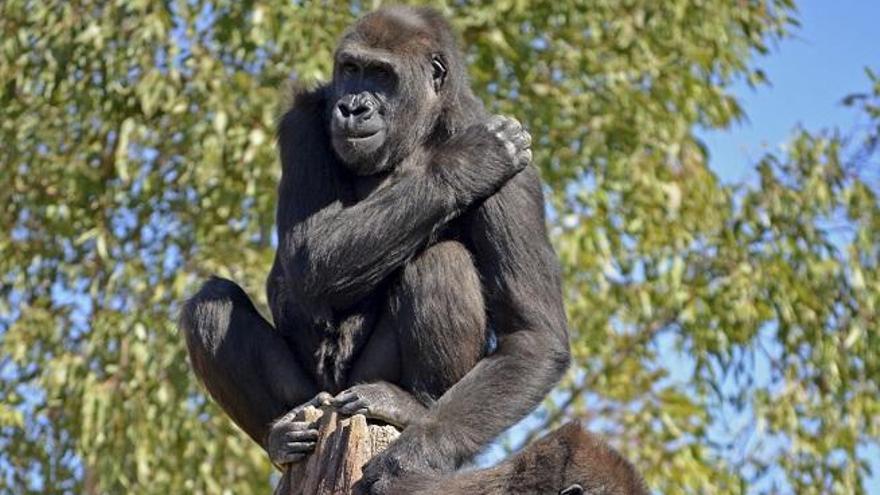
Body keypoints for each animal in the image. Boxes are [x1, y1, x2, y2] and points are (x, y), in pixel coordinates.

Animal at [179, 4, 648, 495]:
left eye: (381, 75)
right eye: (351, 70)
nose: (352, 107)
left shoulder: (520, 175)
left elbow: (532, 335)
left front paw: (413, 455)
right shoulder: (301, 122)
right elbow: (310, 254)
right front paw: (469, 161)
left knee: (440, 261)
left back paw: (415, 406)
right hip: (321, 393)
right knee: (212, 308)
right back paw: (283, 432)